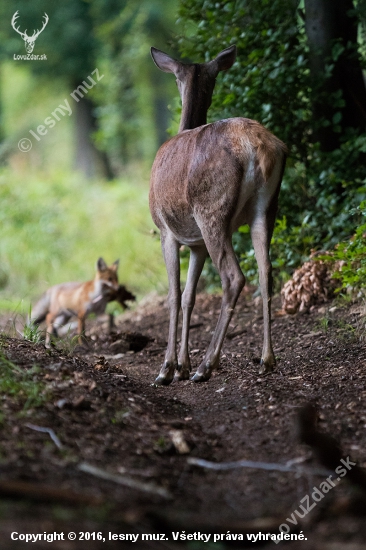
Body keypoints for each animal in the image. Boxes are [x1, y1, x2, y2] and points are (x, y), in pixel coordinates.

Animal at [150, 45, 288, 386]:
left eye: (176, 77)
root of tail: (256, 146)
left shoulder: (166, 231)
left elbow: (174, 295)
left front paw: (167, 369)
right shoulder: (196, 243)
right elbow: (189, 296)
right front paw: (181, 366)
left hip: (211, 211)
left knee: (234, 277)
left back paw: (206, 365)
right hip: (267, 207)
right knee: (266, 270)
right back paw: (266, 359)